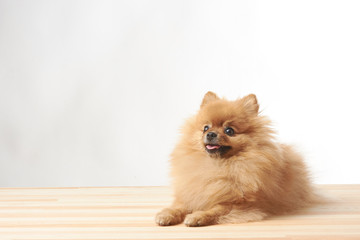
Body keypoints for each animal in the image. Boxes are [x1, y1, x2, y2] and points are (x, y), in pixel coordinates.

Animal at [156, 92, 316, 227]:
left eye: (229, 130)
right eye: (206, 128)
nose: (211, 134)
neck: (218, 165)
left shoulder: (240, 204)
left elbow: (216, 209)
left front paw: (197, 216)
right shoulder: (192, 192)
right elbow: (180, 205)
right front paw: (167, 214)